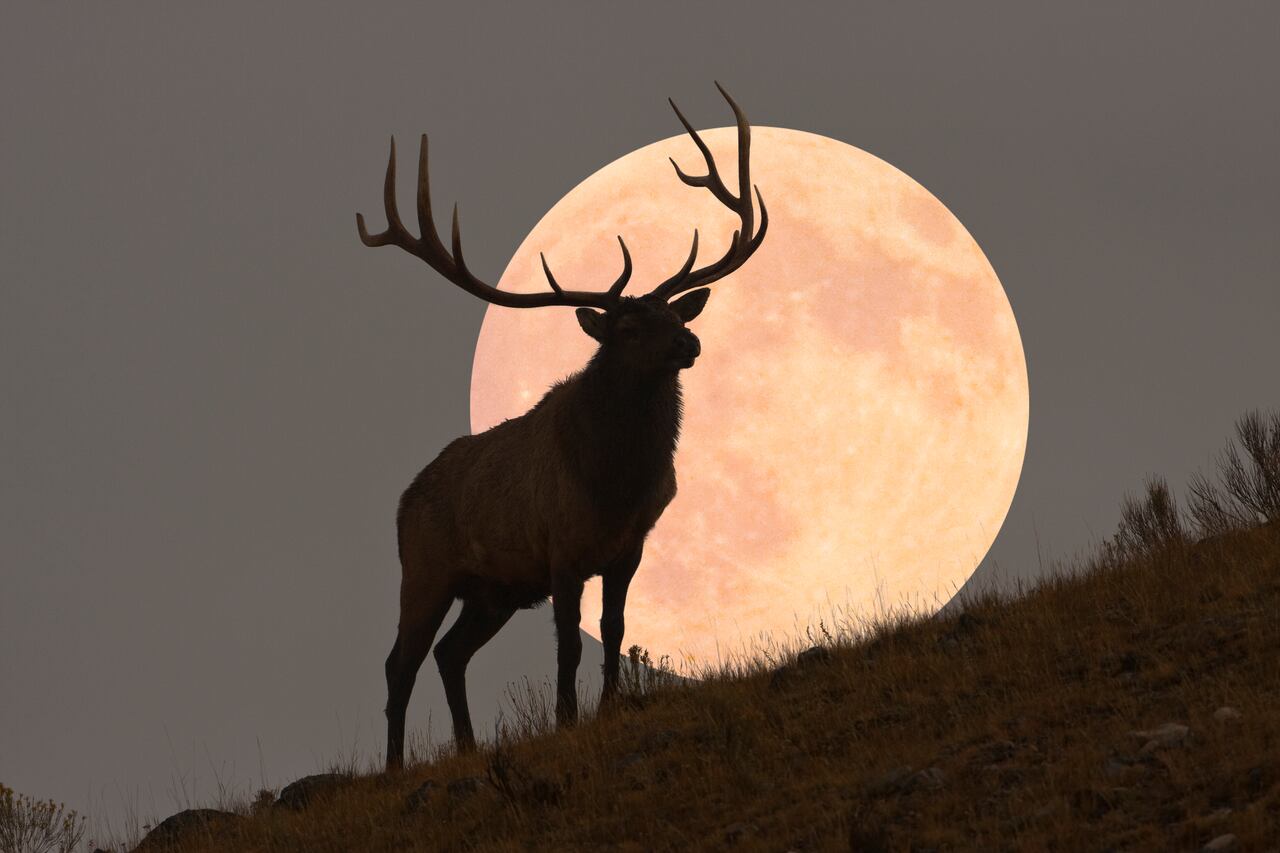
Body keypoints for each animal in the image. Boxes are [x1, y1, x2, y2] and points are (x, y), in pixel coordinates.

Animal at [356, 83, 768, 772]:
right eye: (627, 326)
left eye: (672, 314)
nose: (689, 343)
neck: (614, 483)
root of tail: (403, 498)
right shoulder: (561, 550)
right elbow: (569, 648)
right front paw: (566, 719)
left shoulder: (628, 547)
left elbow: (614, 631)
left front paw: (606, 708)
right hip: (425, 567)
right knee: (399, 664)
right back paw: (393, 767)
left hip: (492, 591)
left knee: (449, 653)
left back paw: (468, 746)